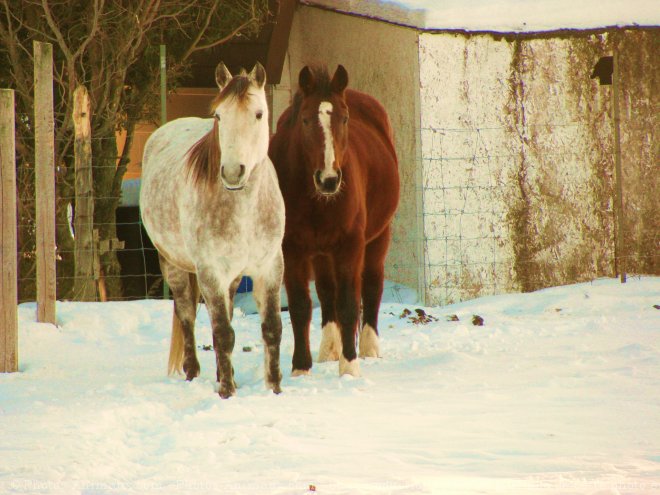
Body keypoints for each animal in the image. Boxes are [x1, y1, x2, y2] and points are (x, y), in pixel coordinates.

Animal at [139, 63, 284, 400]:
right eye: (219, 116)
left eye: (259, 114)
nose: (232, 172)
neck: (245, 208)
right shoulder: (209, 271)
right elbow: (222, 333)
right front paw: (227, 393)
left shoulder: (270, 266)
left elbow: (271, 328)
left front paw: (274, 389)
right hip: (175, 265)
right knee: (187, 315)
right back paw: (193, 372)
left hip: (232, 277)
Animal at [266, 65, 398, 376]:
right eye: (304, 119)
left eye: (345, 118)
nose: (328, 179)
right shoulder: (292, 250)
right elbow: (301, 306)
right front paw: (301, 368)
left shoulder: (350, 245)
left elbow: (349, 303)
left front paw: (349, 368)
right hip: (322, 253)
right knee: (327, 294)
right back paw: (329, 350)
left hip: (378, 238)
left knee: (372, 285)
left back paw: (368, 348)